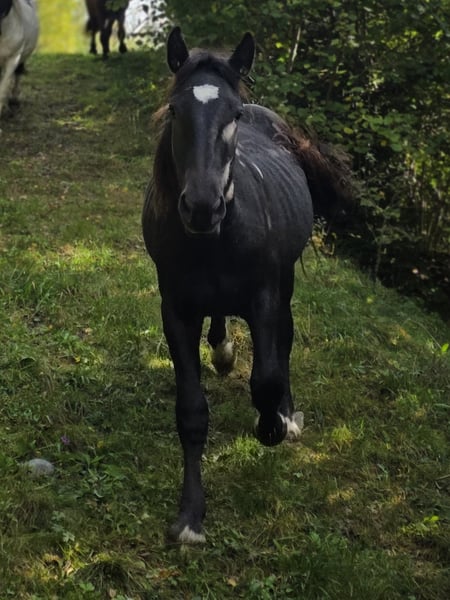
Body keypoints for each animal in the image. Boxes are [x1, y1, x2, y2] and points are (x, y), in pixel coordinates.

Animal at [142, 27, 352, 543]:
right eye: (175, 110)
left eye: (233, 115)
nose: (202, 207)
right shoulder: (176, 309)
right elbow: (191, 412)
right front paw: (190, 518)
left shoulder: (264, 297)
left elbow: (267, 378)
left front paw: (274, 425)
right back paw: (222, 351)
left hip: (286, 284)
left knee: (286, 344)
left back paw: (285, 415)